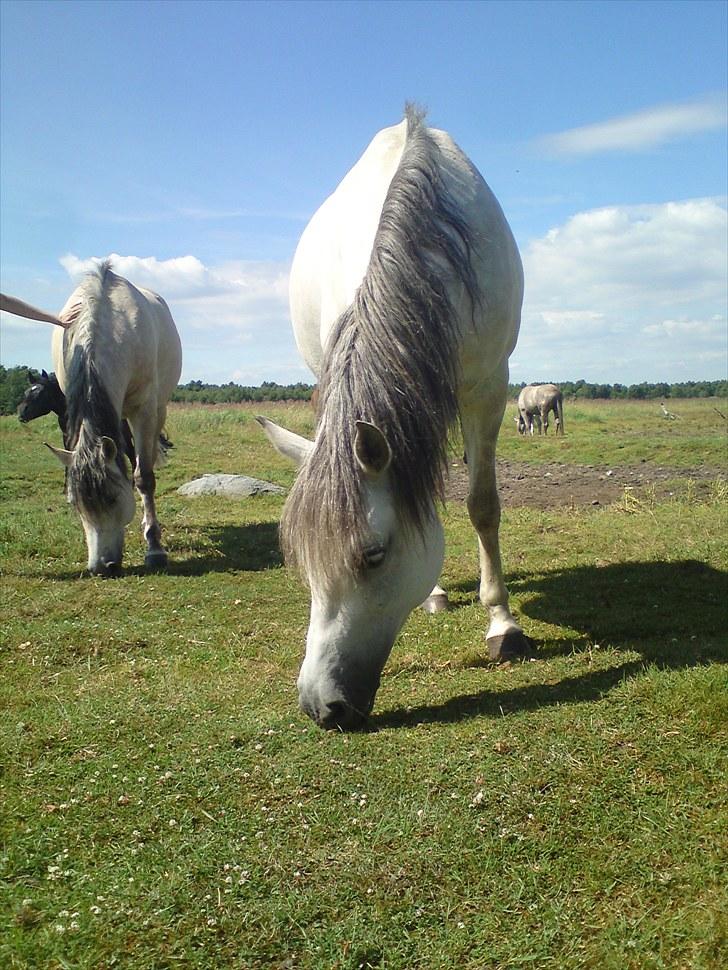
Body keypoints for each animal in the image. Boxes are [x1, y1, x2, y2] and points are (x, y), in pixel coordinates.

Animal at [33, 260, 182, 572]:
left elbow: (143, 477)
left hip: (156, 409)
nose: (101, 567)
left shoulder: (144, 409)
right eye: (76, 504)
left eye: (113, 499)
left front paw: (154, 547)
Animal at [258, 106, 532, 728]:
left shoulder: (489, 387)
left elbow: (483, 505)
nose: (320, 706)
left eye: (374, 555)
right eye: (302, 560)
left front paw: (503, 624)